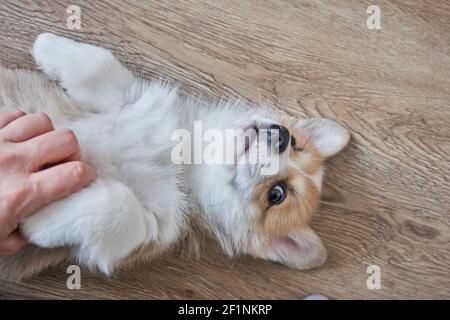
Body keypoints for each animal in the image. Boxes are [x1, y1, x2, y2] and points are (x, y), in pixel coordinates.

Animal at [0, 33, 350, 280]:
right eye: (296, 143)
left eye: (277, 194)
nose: (281, 135)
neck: (185, 159)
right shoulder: (130, 99)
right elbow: (97, 65)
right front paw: (46, 44)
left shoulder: (152, 227)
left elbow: (119, 205)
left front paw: (42, 218)